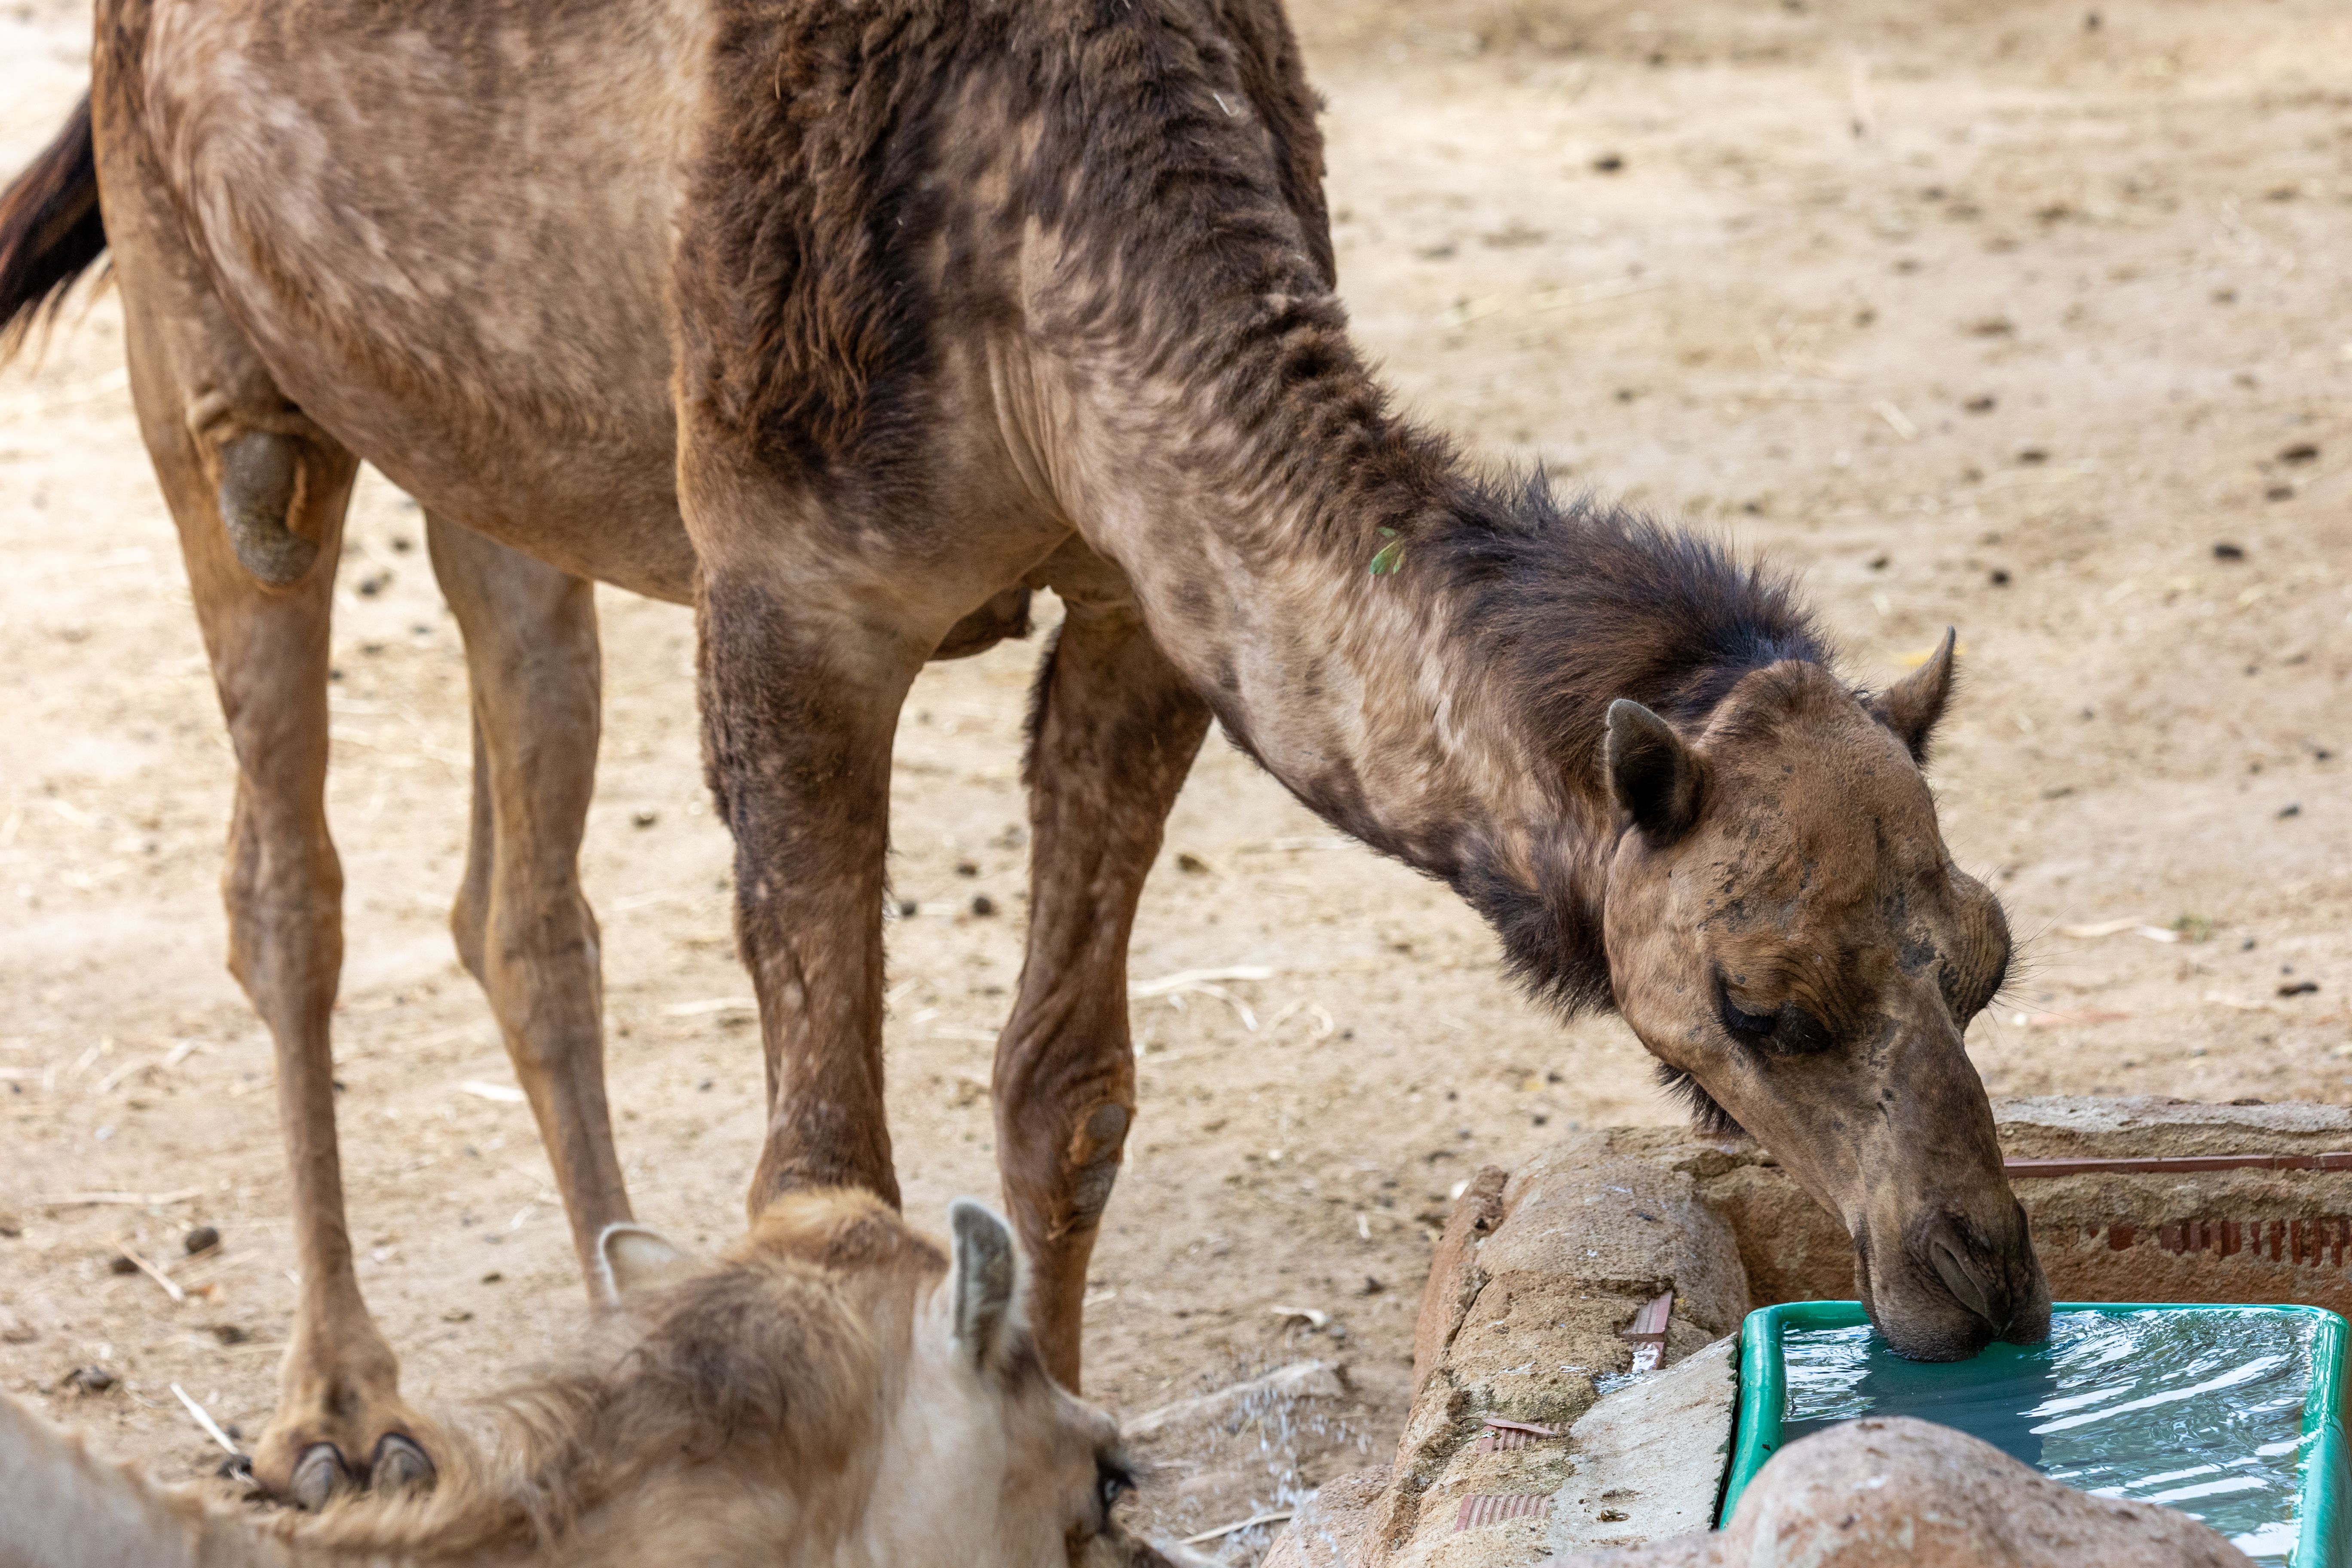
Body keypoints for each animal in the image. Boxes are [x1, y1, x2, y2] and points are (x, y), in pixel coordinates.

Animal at [0, 0, 2049, 1505]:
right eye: (1757, 999)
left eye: (1982, 954)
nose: (1980, 1273)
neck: (1031, 197)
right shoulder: (789, 596)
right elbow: (823, 1158)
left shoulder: (1143, 597)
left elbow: (1065, 1093)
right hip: (213, 355)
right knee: (284, 870)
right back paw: (338, 1416)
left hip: (492, 452)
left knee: (522, 901)